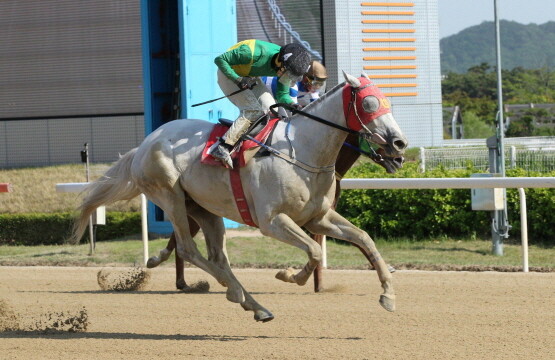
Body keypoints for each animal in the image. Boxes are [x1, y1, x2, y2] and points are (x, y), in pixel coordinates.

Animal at [71, 71, 406, 322]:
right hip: (170, 196)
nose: (400, 145)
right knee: (189, 249)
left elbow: (363, 238)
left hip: (204, 209)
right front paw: (289, 275)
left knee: (217, 256)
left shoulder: (318, 217)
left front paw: (388, 295)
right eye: (368, 104)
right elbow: (313, 250)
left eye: (388, 102)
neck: (301, 150)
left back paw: (251, 303)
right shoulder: (273, 221)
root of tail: (143, 144)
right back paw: (234, 293)